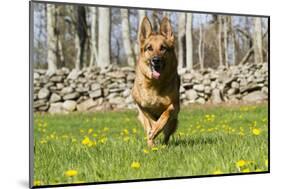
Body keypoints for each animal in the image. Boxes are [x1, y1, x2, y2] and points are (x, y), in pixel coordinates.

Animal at [132, 16, 179, 147]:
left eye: (163, 48)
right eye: (149, 48)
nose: (156, 60)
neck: (154, 84)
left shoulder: (174, 105)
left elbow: (165, 114)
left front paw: (157, 128)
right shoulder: (141, 106)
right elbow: (150, 121)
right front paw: (153, 131)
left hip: (173, 122)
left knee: (166, 134)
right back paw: (151, 144)